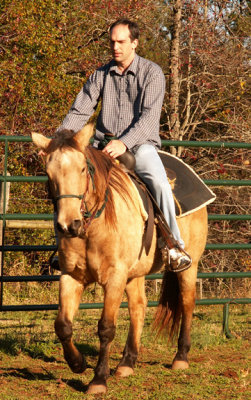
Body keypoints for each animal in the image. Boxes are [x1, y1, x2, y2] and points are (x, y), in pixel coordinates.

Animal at [31, 124, 208, 394]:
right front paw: (77, 363)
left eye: (82, 168)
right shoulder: (71, 276)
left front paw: (98, 380)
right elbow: (62, 325)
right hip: (135, 273)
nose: (69, 225)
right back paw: (127, 363)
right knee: (139, 307)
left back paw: (180, 357)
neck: (94, 225)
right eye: (49, 173)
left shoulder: (114, 277)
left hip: (190, 266)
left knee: (187, 302)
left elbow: (106, 327)